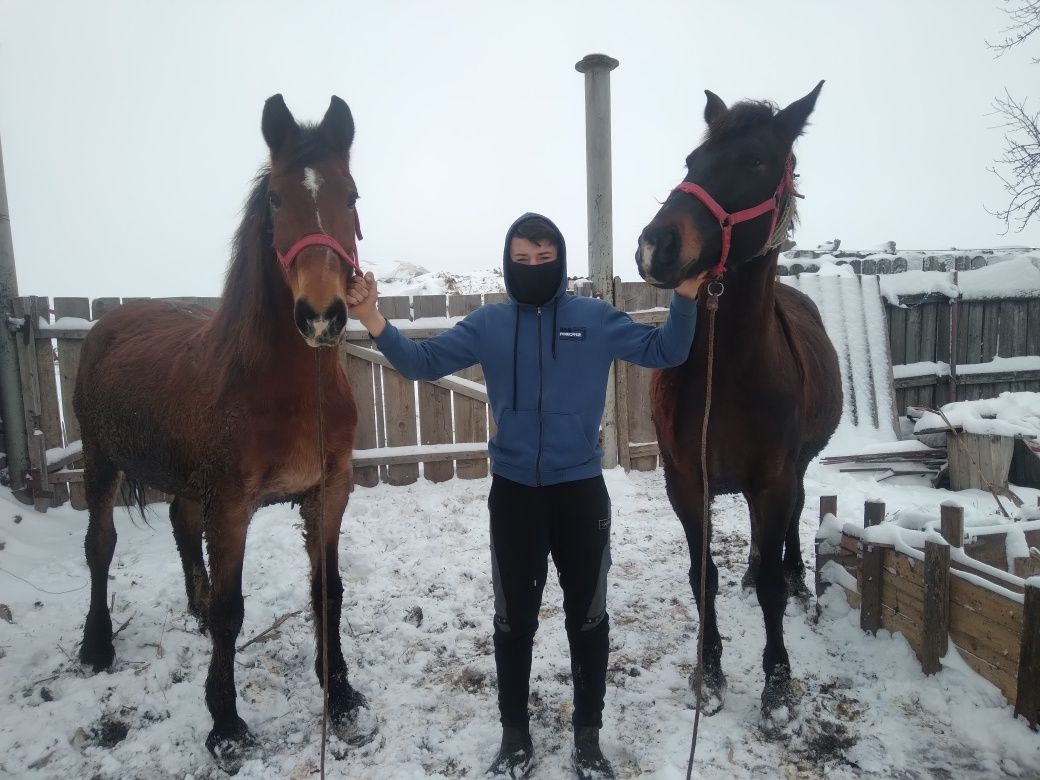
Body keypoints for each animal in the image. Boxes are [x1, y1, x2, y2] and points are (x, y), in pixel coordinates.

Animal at [72, 93, 370, 765]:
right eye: (277, 200)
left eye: (352, 196)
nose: (321, 316)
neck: (286, 390)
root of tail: (108, 325)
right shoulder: (231, 506)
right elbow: (236, 610)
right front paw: (226, 723)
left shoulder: (329, 493)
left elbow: (328, 591)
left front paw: (340, 695)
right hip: (102, 462)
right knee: (101, 546)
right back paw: (97, 646)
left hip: (186, 483)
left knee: (182, 529)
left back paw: (196, 610)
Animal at [632, 82, 844, 723]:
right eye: (691, 162)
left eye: (755, 161)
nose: (656, 246)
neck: (726, 373)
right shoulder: (686, 483)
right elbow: (702, 576)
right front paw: (710, 674)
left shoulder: (774, 477)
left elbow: (773, 572)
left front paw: (777, 685)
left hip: (794, 470)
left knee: (792, 523)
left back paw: (796, 581)